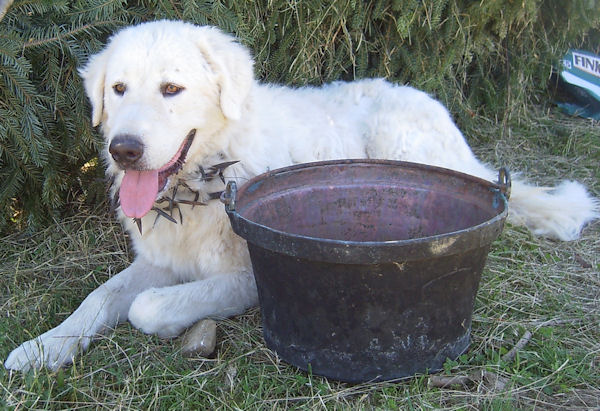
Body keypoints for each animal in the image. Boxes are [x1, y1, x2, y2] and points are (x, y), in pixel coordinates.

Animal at [5, 20, 598, 372]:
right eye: (119, 89)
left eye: (172, 89)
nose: (124, 149)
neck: (203, 181)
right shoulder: (159, 260)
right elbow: (98, 299)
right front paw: (44, 347)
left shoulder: (248, 276)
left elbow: (145, 307)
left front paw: (171, 323)